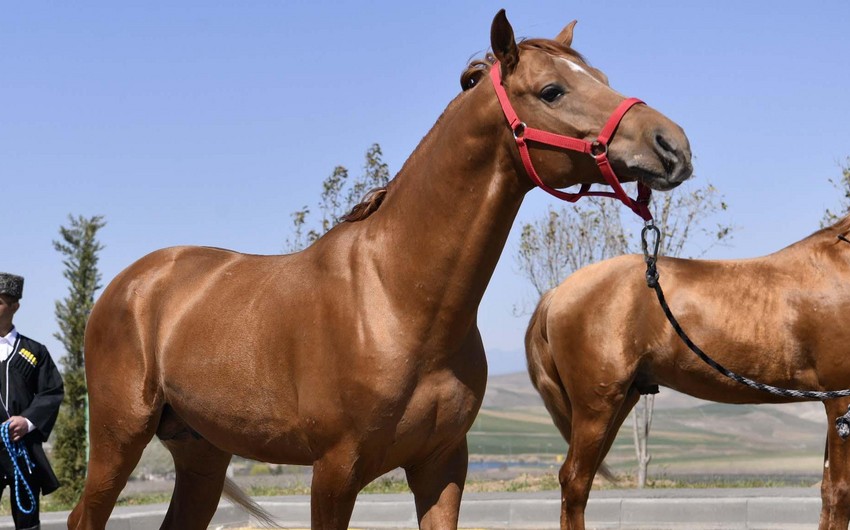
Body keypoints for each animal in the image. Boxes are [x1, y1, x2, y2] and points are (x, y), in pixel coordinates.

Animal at [68, 9, 688, 528]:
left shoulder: (442, 466)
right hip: (119, 441)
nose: (672, 144)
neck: (395, 299)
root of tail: (130, 283)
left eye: (600, 75)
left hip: (201, 452)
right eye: (552, 90)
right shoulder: (335, 472)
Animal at [528, 212, 850, 524]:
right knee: (575, 483)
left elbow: (826, 492)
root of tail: (557, 293)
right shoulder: (840, 402)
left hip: (619, 402)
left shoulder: (832, 403)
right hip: (596, 407)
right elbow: (839, 492)